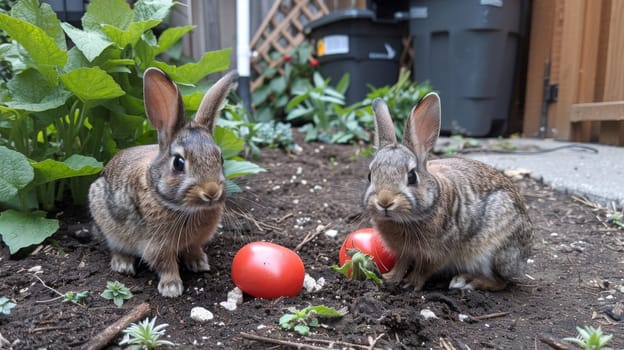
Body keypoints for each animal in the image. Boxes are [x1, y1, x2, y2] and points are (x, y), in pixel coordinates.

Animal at [90, 68, 239, 298]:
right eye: (178, 163)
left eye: (220, 159)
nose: (211, 191)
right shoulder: (156, 245)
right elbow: (166, 264)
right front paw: (172, 288)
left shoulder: (195, 240)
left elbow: (193, 249)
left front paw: (199, 264)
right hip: (107, 223)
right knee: (115, 246)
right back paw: (123, 264)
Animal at [364, 93, 532, 292]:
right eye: (370, 175)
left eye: (411, 176)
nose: (385, 201)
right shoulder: (403, 251)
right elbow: (401, 263)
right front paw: (389, 278)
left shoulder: (439, 253)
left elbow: (424, 269)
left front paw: (411, 283)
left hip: (494, 252)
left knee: (501, 281)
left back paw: (467, 280)